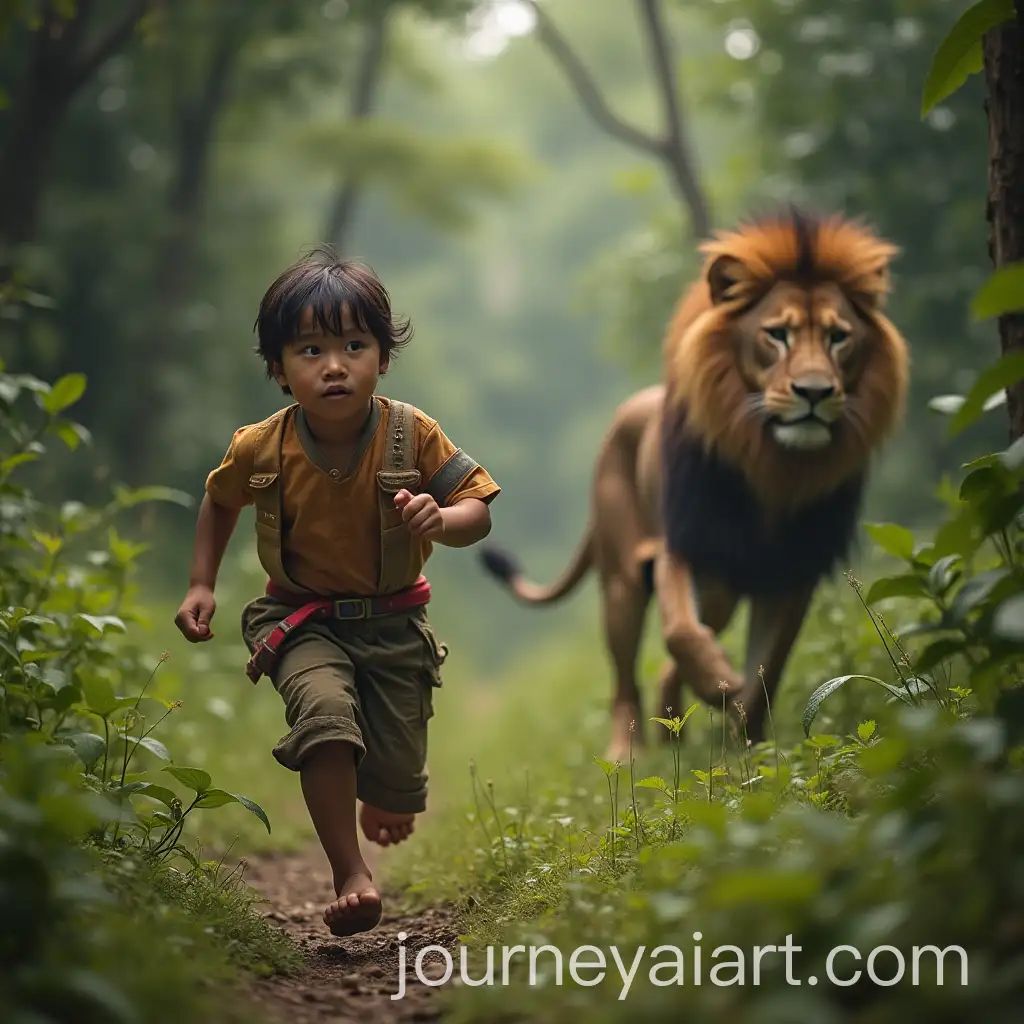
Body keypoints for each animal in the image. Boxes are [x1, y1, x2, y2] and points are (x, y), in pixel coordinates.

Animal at [480, 208, 909, 759]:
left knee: (676, 662)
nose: (814, 392)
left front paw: (750, 749)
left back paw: (675, 728)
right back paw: (628, 752)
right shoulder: (682, 546)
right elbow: (681, 632)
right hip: (624, 582)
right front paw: (718, 684)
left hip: (721, 591)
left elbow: (767, 670)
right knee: (625, 676)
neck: (774, 468)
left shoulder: (793, 572)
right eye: (777, 335)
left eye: (839, 337)